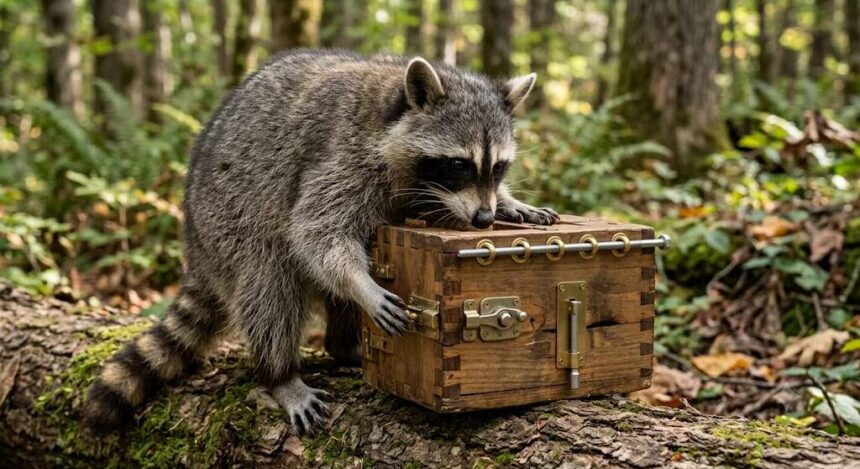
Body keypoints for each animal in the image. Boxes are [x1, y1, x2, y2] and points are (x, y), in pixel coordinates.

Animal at [83, 49, 559, 436]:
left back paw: (344, 347)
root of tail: (196, 251)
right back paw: (280, 374)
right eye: (458, 165)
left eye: (497, 167)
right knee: (269, 282)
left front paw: (510, 203)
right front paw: (361, 285)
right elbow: (316, 233)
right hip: (226, 223)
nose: (483, 218)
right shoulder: (344, 158)